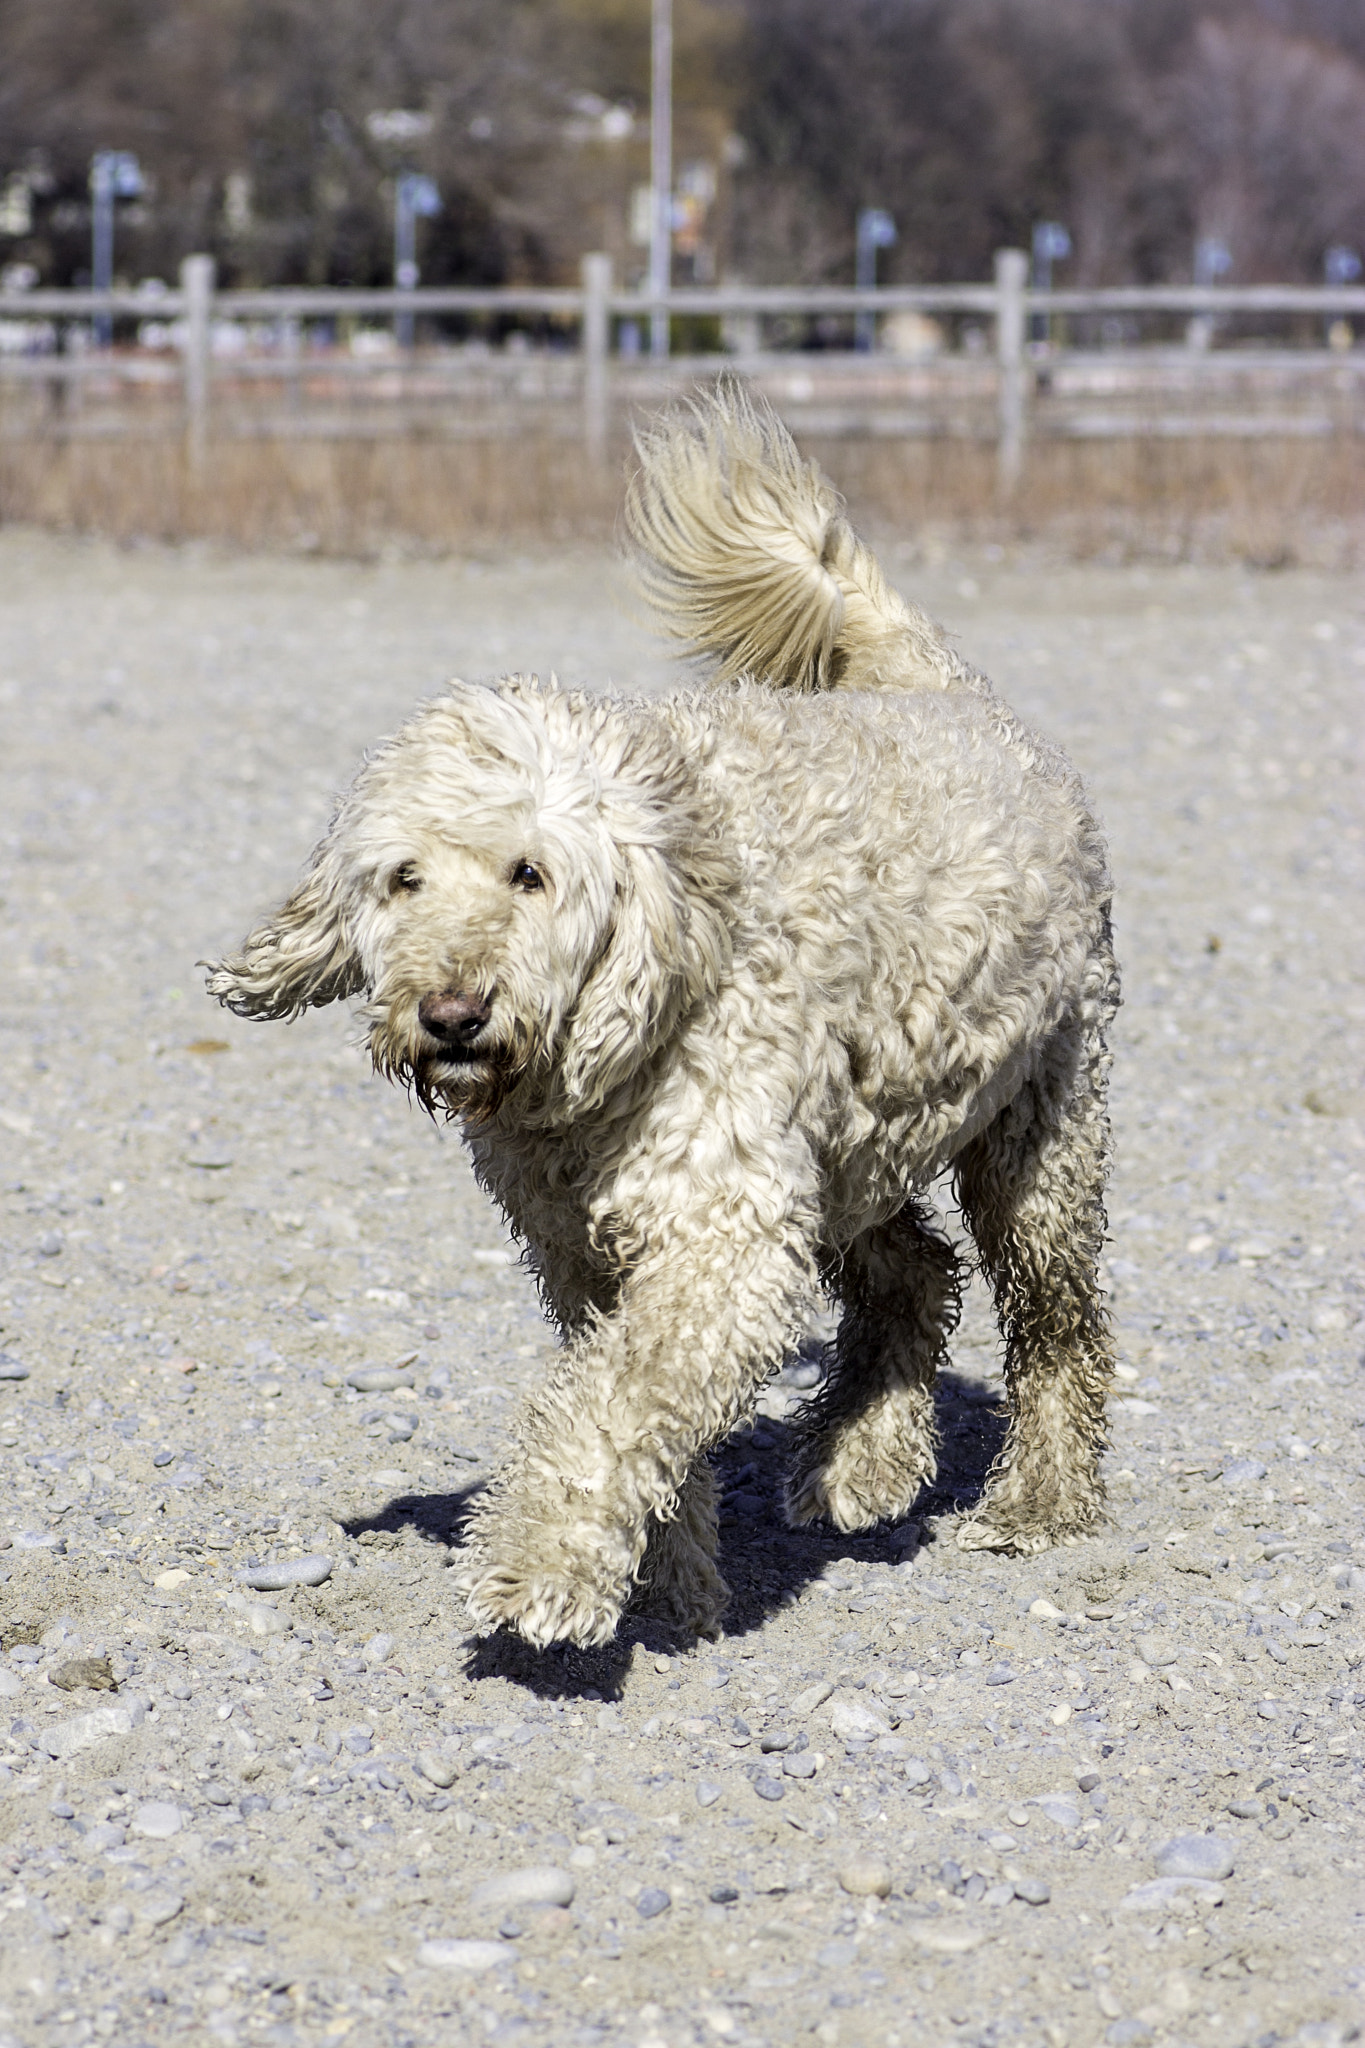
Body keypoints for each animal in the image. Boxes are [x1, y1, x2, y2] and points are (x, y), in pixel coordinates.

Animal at [205, 391, 1121, 1654]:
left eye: (530, 873)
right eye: (402, 879)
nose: (451, 1014)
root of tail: (953, 695)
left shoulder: (720, 1235)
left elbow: (615, 1399)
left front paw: (545, 1566)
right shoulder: (590, 1250)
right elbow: (638, 1409)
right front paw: (672, 1581)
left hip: (1038, 1126)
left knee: (1053, 1317)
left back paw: (1039, 1496)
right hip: (852, 1143)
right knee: (912, 1271)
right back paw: (860, 1460)